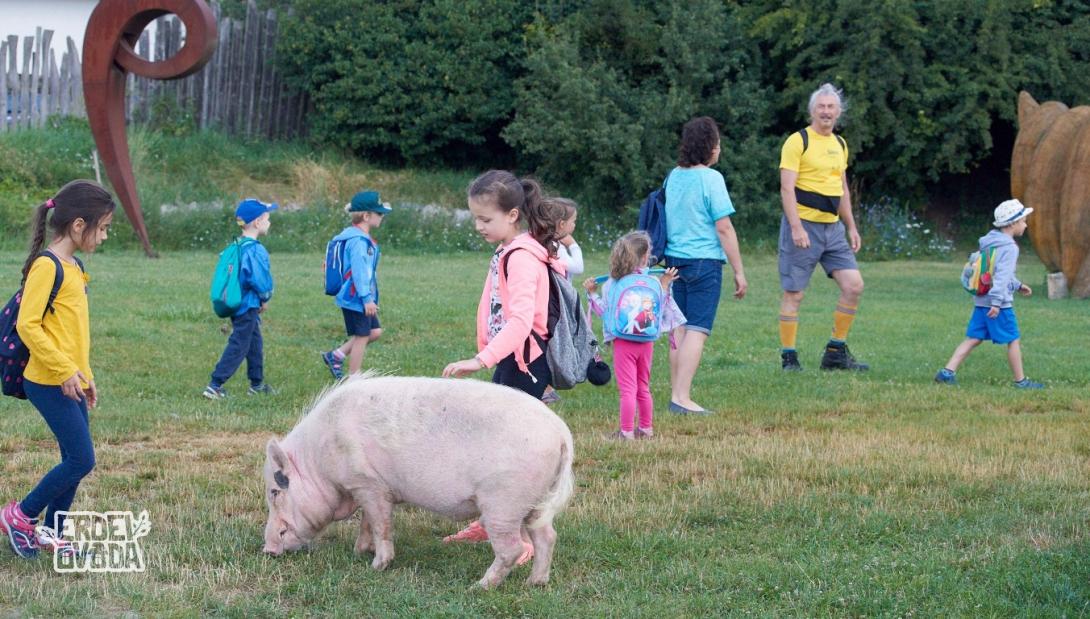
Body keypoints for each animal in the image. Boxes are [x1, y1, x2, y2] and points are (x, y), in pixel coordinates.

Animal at [262, 374, 575, 588]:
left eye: (275, 492)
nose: (267, 550)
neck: (317, 459)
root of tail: (561, 434)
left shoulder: (367, 483)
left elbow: (380, 523)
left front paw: (377, 565)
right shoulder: (370, 488)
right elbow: (368, 521)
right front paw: (359, 552)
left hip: (504, 501)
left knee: (512, 549)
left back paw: (479, 586)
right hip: (535, 502)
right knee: (547, 536)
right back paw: (535, 583)